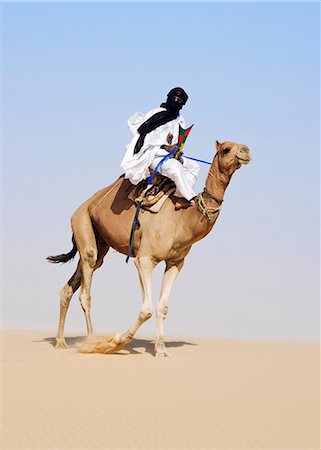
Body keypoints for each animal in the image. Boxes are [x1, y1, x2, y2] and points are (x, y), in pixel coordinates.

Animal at [47, 139, 250, 356]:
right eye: (226, 149)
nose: (246, 151)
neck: (183, 219)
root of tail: (81, 207)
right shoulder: (145, 259)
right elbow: (146, 310)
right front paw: (117, 341)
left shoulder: (176, 262)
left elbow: (162, 307)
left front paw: (161, 348)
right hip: (82, 222)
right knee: (86, 291)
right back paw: (92, 341)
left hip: (98, 242)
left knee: (69, 287)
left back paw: (60, 342)